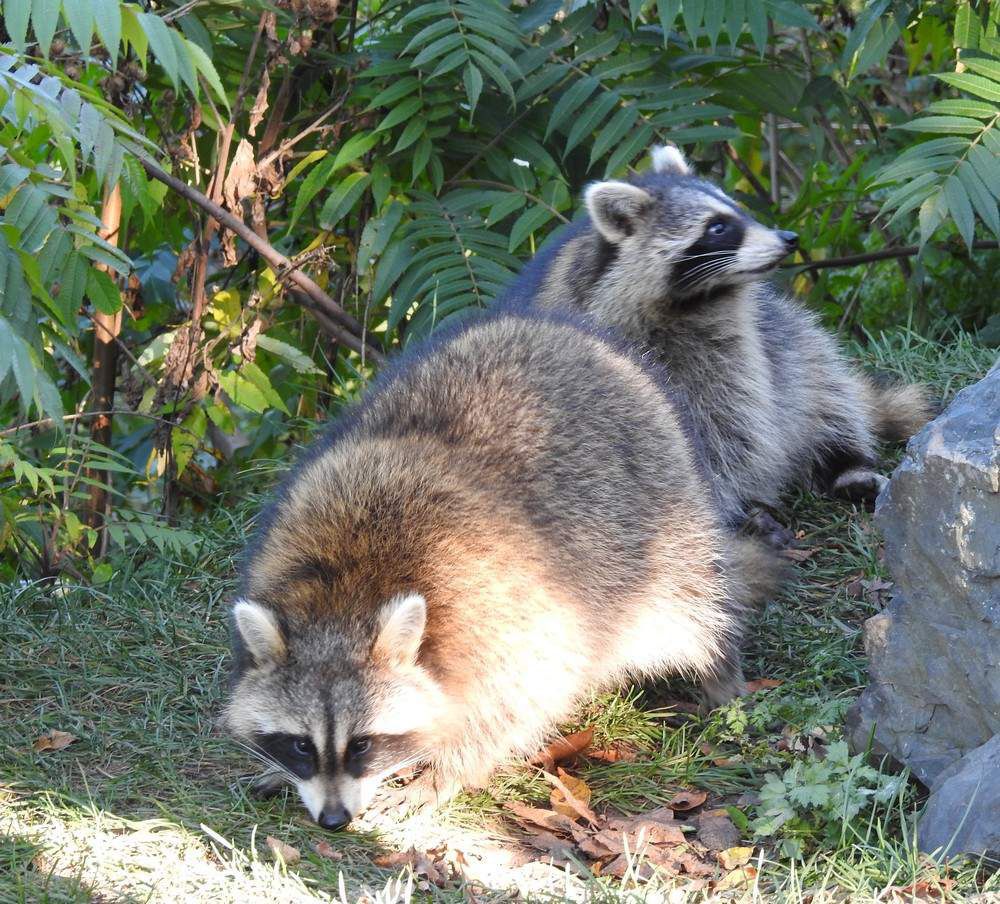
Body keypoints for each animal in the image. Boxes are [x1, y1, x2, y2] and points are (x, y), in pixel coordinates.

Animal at [223, 308, 776, 828]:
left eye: (363, 744)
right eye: (301, 744)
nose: (335, 820)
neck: (348, 591)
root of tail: (578, 335)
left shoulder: (506, 617)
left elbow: (514, 708)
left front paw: (445, 772)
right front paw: (283, 770)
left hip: (663, 519)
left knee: (690, 607)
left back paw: (719, 664)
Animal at [504, 146, 932, 532]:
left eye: (738, 208)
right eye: (718, 227)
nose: (789, 238)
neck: (696, 301)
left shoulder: (732, 346)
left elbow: (735, 422)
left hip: (786, 336)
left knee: (818, 381)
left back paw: (844, 463)